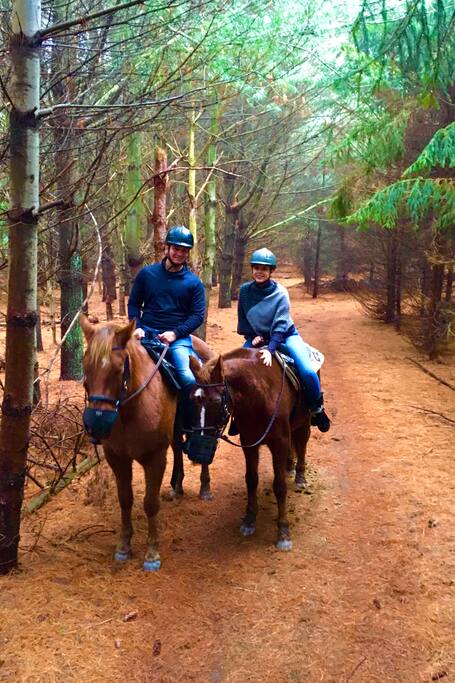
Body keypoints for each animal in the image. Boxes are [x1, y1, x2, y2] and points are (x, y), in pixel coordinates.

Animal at [80, 315, 214, 571]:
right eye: (85, 369)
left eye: (118, 370)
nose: (96, 423)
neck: (129, 410)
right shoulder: (117, 458)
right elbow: (125, 499)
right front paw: (124, 546)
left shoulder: (154, 458)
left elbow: (150, 503)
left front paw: (152, 553)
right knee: (178, 448)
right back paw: (177, 487)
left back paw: (204, 488)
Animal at [189, 348, 311, 551]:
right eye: (191, 399)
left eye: (216, 401)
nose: (198, 451)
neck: (259, 395)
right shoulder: (249, 442)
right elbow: (251, 479)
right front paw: (249, 520)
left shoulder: (279, 443)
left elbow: (280, 486)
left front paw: (283, 532)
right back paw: (290, 466)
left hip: (305, 421)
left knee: (302, 444)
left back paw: (300, 475)